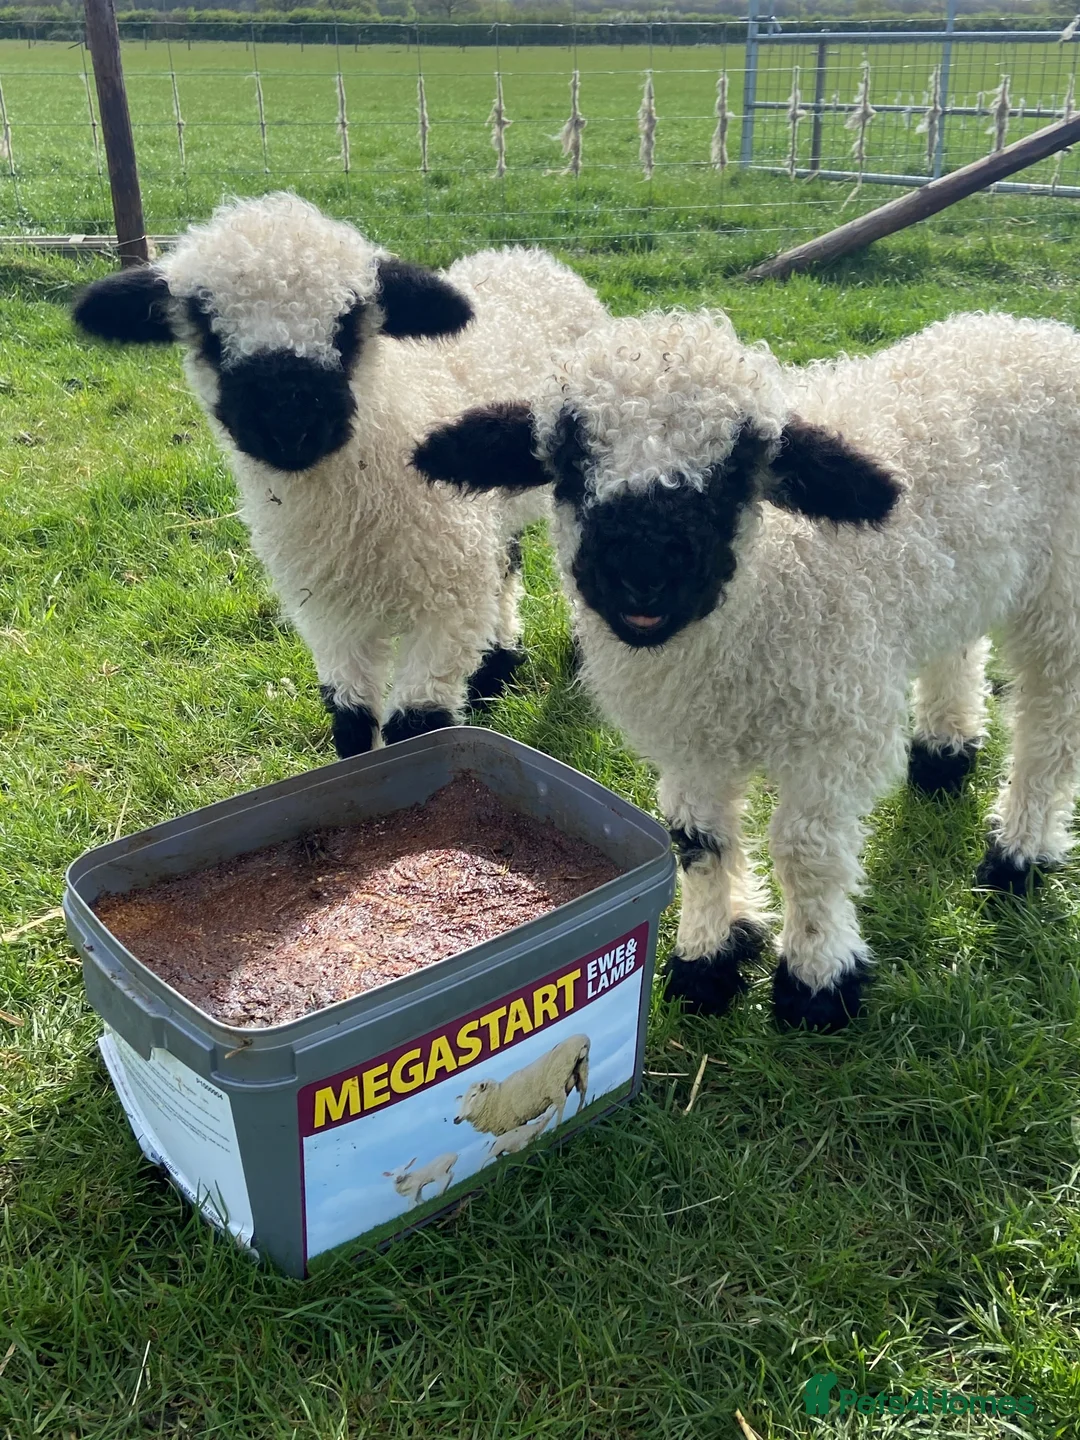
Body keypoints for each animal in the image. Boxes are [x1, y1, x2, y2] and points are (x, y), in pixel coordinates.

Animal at [71, 192, 607, 756]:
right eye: (208, 333)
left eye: (349, 324)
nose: (289, 427)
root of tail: (526, 256)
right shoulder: (329, 614)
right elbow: (350, 718)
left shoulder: (446, 603)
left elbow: (418, 726)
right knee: (507, 562)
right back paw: (495, 668)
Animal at [413, 308, 1080, 1033]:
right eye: (566, 461)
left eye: (737, 470)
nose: (643, 572)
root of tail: (1034, 332)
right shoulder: (691, 743)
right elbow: (697, 843)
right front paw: (710, 958)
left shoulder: (832, 733)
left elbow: (808, 853)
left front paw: (817, 984)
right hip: (961, 577)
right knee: (956, 646)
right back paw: (945, 755)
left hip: (1062, 599)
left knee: (1050, 727)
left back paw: (1018, 855)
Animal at [455, 1034, 590, 1134]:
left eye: (473, 1095)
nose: (456, 1119)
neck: (496, 1098)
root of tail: (582, 1040)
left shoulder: (512, 1122)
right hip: (581, 1068)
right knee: (583, 1090)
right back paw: (579, 1110)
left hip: (555, 1084)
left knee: (561, 1102)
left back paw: (557, 1126)